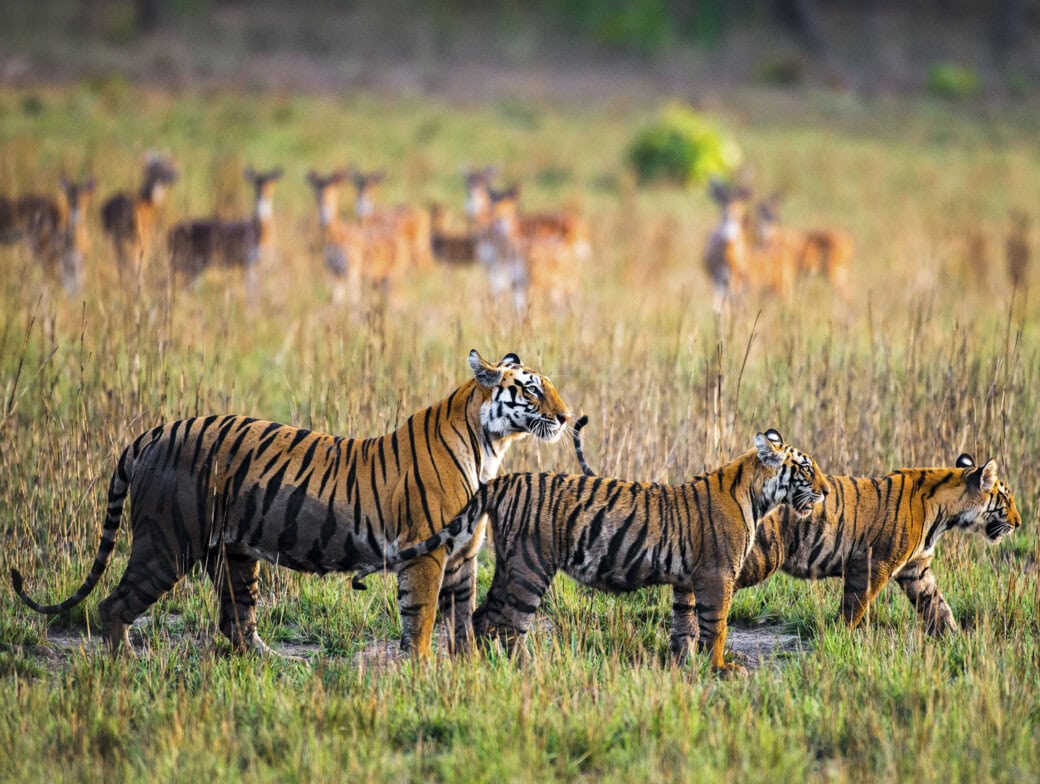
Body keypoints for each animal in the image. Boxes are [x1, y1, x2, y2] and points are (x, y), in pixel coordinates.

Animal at [10, 350, 571, 658]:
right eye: (531, 391)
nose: (567, 418)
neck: (490, 447)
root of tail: (153, 432)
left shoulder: (463, 554)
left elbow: (463, 620)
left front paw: (467, 671)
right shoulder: (427, 554)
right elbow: (424, 618)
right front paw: (422, 671)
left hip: (233, 556)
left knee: (236, 622)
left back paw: (276, 664)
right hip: (165, 544)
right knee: (114, 605)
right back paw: (125, 665)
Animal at [352, 428, 829, 674]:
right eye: (806, 468)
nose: (825, 491)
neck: (758, 494)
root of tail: (504, 479)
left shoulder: (687, 581)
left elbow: (686, 625)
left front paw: (679, 664)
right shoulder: (716, 575)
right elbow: (718, 626)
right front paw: (719, 668)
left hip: (510, 565)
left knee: (485, 617)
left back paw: (487, 665)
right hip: (530, 568)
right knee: (511, 624)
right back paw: (528, 670)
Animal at [570, 420, 1020, 636]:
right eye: (1008, 498)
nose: (1018, 522)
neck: (946, 514)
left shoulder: (916, 570)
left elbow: (938, 607)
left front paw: (955, 639)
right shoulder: (873, 564)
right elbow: (856, 607)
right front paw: (839, 639)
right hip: (752, 559)